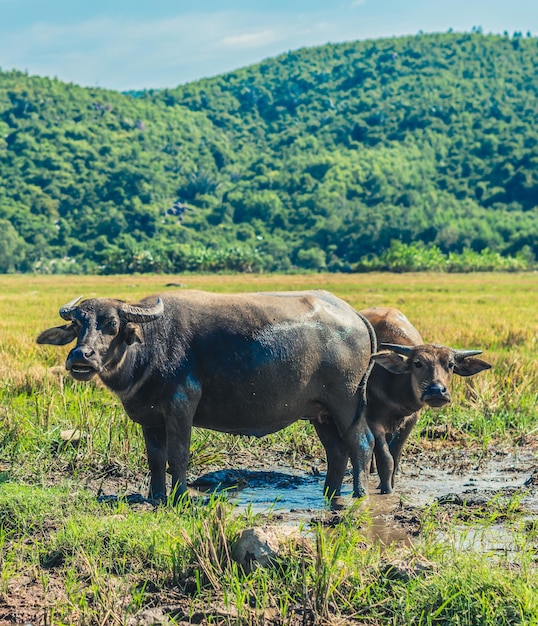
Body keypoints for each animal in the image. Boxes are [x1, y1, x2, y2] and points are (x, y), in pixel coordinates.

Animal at [37, 288, 374, 502]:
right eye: (77, 323)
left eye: (112, 324)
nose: (81, 355)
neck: (150, 348)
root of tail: (354, 316)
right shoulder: (150, 418)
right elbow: (155, 458)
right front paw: (155, 496)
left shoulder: (181, 405)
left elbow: (178, 454)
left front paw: (179, 496)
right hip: (320, 412)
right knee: (336, 451)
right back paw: (330, 494)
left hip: (347, 403)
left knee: (361, 444)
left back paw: (359, 494)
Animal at [360, 308, 490, 492]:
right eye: (417, 363)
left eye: (450, 364)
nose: (437, 390)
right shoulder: (373, 421)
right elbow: (385, 458)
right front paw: (386, 489)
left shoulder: (411, 420)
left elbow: (395, 453)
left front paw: (391, 483)